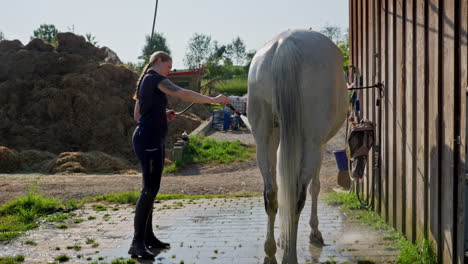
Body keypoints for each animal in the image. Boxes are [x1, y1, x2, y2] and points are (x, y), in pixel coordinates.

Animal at [249, 29, 348, 262]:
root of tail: (285, 43)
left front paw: (283, 238)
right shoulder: (319, 145)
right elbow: (315, 187)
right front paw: (314, 233)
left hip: (263, 139)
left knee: (272, 194)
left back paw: (271, 250)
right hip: (312, 144)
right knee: (297, 197)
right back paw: (289, 256)